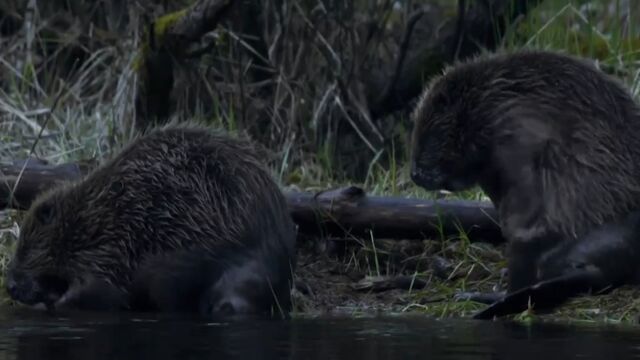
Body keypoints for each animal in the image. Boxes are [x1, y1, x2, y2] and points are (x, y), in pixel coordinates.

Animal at [3, 121, 298, 318]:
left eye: (27, 248)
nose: (10, 287)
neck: (90, 216)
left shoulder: (111, 249)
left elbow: (101, 290)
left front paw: (56, 302)